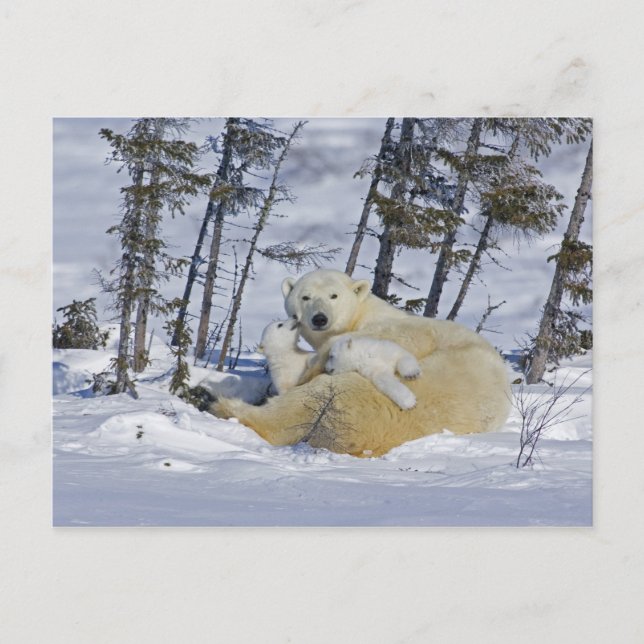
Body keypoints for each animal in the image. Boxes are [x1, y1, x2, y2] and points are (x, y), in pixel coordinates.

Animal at [211, 269, 511, 458]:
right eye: (305, 296)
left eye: (333, 295)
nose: (319, 318)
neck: (364, 314)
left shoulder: (400, 331)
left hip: (360, 396)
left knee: (300, 408)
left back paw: (219, 402)